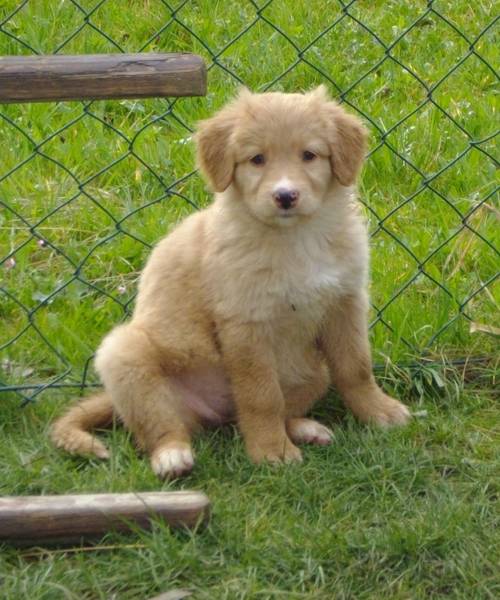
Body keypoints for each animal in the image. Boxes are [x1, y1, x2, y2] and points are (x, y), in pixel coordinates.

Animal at [51, 86, 410, 478]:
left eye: (309, 155)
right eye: (257, 159)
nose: (285, 196)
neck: (295, 238)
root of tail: (218, 413)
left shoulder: (345, 302)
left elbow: (355, 368)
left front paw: (379, 411)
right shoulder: (245, 323)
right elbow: (261, 396)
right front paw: (271, 451)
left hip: (313, 370)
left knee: (280, 409)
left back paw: (305, 428)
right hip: (125, 355)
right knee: (157, 427)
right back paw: (172, 455)